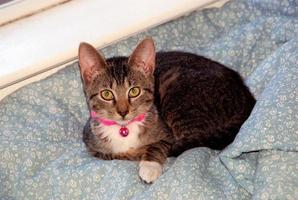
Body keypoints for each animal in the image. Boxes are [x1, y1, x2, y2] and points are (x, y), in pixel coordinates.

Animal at [78, 37, 255, 183]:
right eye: (106, 94)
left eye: (134, 91)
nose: (123, 112)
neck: (124, 129)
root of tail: (246, 98)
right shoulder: (91, 143)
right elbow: (114, 154)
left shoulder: (165, 133)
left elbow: (157, 145)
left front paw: (149, 166)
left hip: (179, 94)